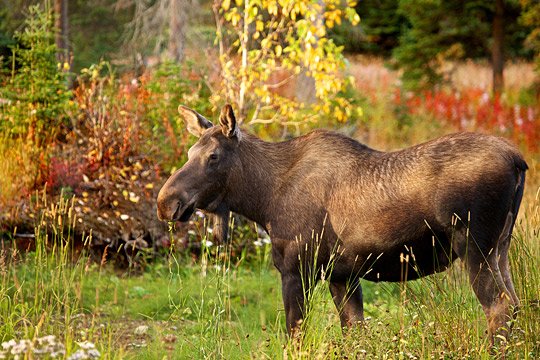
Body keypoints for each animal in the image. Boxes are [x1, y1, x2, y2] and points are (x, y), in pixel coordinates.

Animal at [156, 104, 528, 344]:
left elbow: (295, 337)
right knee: (515, 303)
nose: (165, 202)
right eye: (189, 152)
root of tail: (518, 161)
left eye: (213, 156)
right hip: (501, 248)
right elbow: (355, 333)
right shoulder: (341, 275)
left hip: (475, 246)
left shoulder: (296, 269)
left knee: (499, 308)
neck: (263, 199)